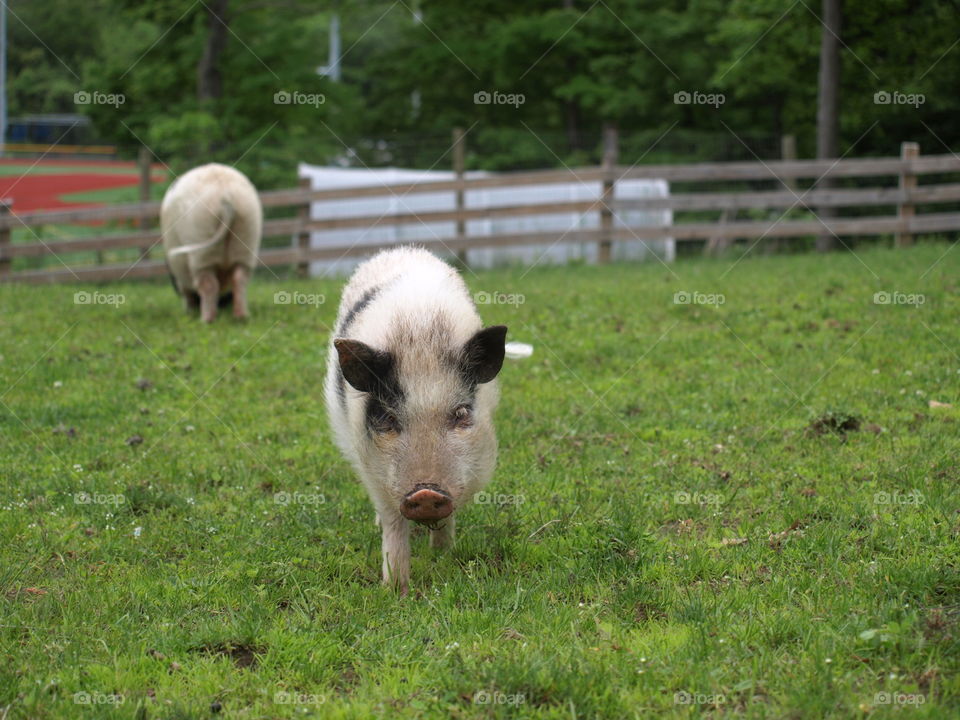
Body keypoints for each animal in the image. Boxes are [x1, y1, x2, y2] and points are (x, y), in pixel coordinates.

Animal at [161, 163, 262, 322]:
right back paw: (241, 317)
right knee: (240, 279)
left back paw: (206, 320)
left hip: (201, 245)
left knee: (208, 284)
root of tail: (225, 196)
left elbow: (188, 291)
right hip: (247, 238)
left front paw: (190, 311)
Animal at [324, 247, 508, 593]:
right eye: (388, 418)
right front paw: (395, 590)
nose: (426, 494)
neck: (419, 334)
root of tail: (403, 249)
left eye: (461, 413)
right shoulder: (374, 468)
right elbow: (393, 524)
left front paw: (443, 555)